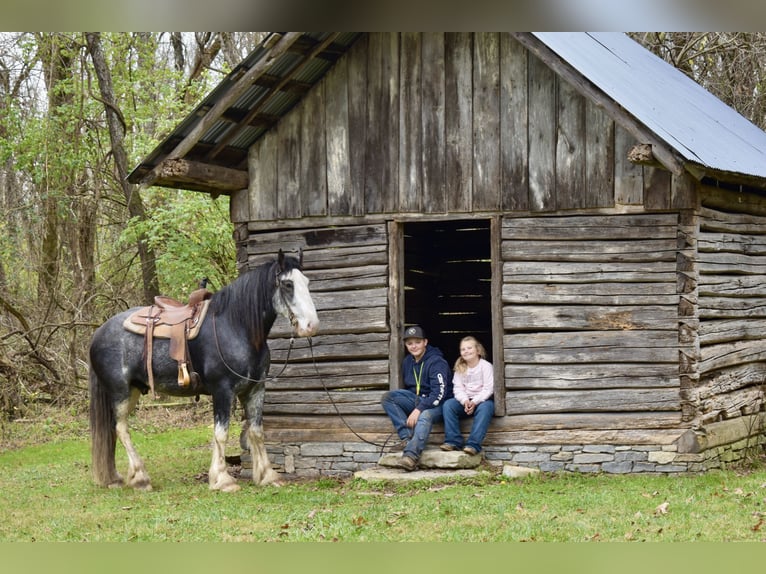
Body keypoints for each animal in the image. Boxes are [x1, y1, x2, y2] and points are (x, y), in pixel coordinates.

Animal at [88, 252, 320, 496]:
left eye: (307, 282)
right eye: (287, 284)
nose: (311, 326)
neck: (236, 327)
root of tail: (98, 333)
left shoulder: (255, 389)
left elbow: (256, 431)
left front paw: (267, 476)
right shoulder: (222, 391)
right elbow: (221, 433)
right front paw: (222, 480)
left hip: (132, 390)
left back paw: (117, 478)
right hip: (120, 392)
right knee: (121, 429)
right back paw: (141, 478)